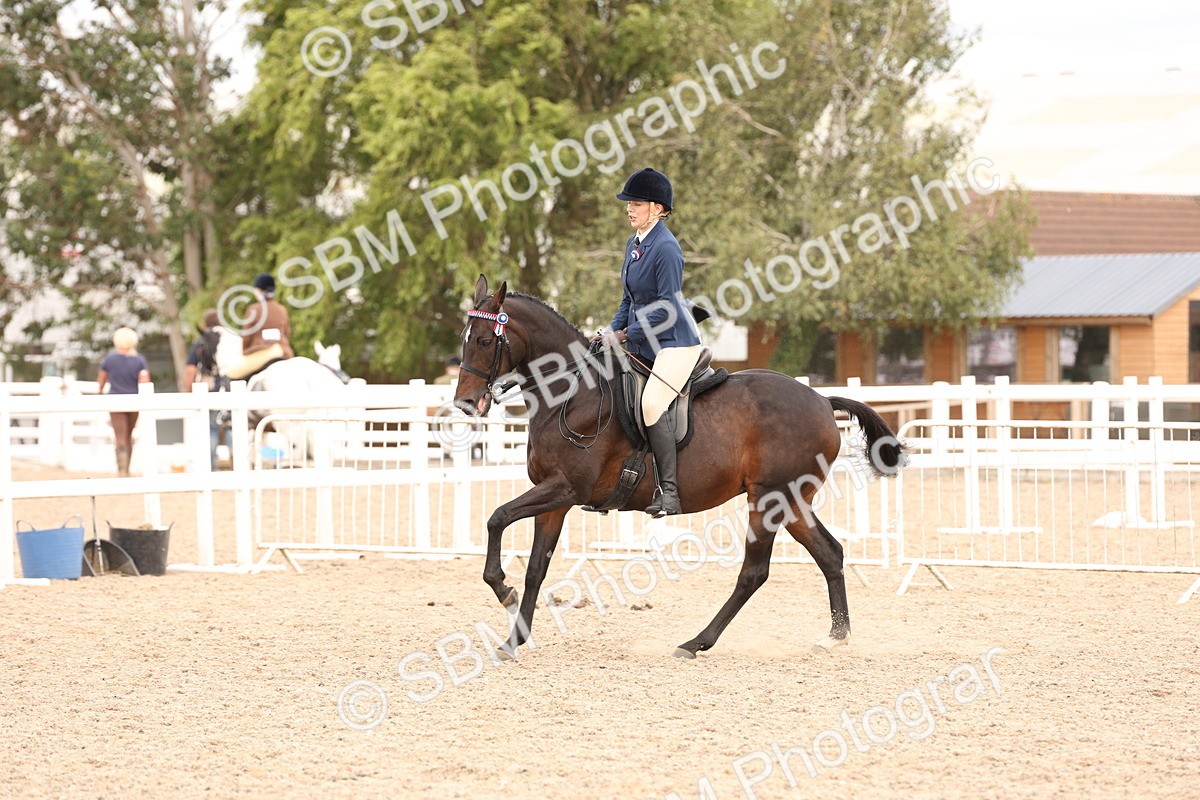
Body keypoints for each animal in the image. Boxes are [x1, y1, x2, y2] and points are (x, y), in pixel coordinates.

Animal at [454, 275, 906, 659]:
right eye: (465, 340)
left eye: (484, 340)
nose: (464, 403)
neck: (572, 392)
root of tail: (822, 401)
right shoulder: (554, 499)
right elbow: (535, 568)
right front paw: (514, 637)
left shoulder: (565, 488)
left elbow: (497, 518)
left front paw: (502, 590)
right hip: (792, 502)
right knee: (829, 554)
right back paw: (836, 636)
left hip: (768, 500)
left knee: (754, 572)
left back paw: (696, 642)